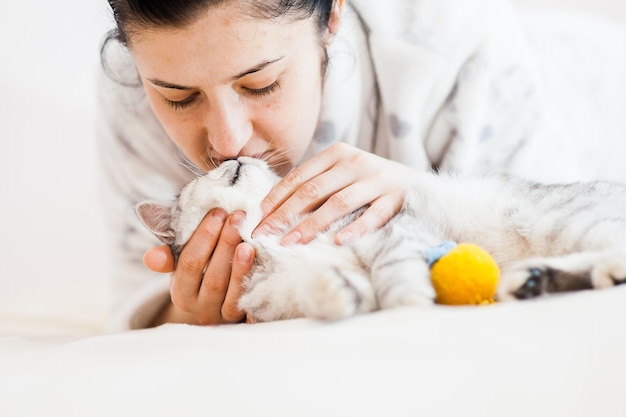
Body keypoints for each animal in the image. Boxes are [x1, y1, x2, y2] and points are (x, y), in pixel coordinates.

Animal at [135, 156, 624, 322]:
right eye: (227, 170)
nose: (238, 156)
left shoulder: (390, 230)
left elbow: (392, 272)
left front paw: (407, 299)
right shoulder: (279, 298)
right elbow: (325, 293)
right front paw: (334, 292)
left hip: (559, 223)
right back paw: (532, 281)